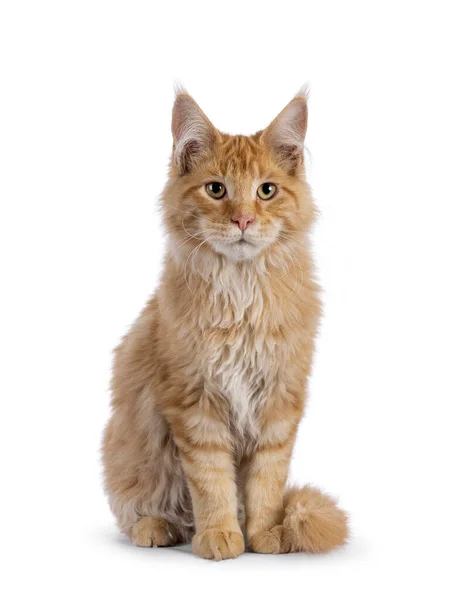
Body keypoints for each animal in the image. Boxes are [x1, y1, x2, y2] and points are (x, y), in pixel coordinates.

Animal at [102, 86, 348, 560]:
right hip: (133, 453)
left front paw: (266, 534)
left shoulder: (278, 401)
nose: (243, 220)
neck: (242, 293)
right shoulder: (195, 402)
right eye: (216, 190)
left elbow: (267, 482)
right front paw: (219, 534)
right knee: (145, 507)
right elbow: (211, 481)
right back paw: (160, 528)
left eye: (266, 191)